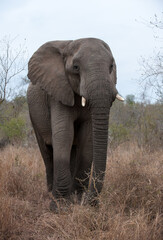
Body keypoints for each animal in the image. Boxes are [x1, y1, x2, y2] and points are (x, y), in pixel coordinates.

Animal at [26, 37, 123, 210]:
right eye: (76, 67)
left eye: (111, 67)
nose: (91, 202)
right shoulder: (57, 92)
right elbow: (64, 133)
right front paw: (59, 207)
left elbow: (87, 138)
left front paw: (77, 201)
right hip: (33, 114)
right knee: (46, 150)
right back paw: (50, 192)